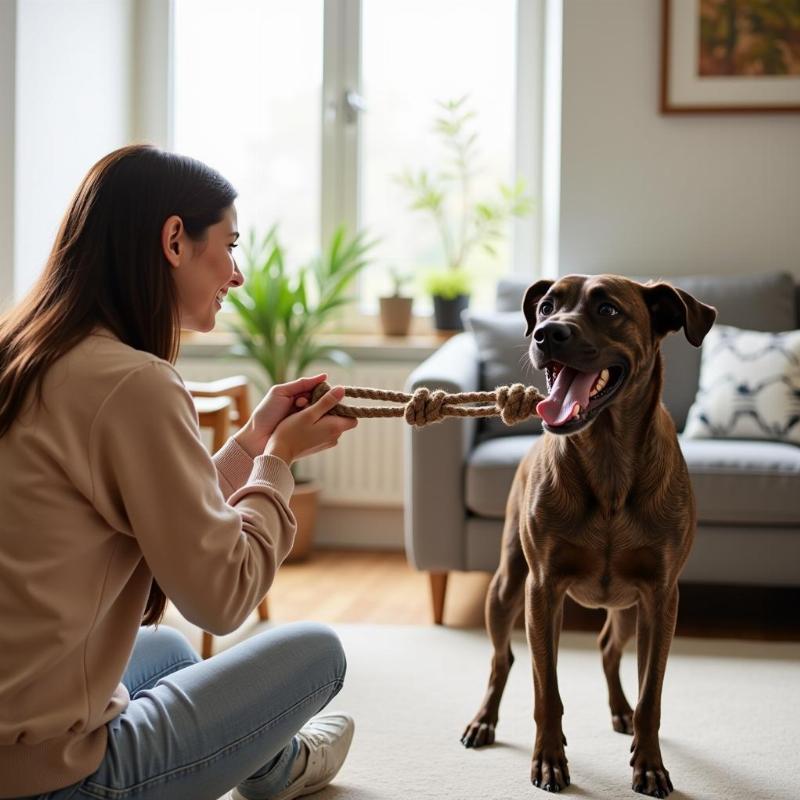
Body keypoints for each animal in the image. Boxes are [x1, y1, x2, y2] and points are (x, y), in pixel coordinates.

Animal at [462, 274, 720, 792]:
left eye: (608, 309)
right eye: (546, 306)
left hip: (627, 607)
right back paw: (484, 720)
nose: (547, 334)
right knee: (502, 659)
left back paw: (621, 711)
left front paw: (650, 762)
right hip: (507, 586)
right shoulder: (542, 590)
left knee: (609, 649)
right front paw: (548, 759)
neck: (607, 457)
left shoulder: (661, 595)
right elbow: (547, 689)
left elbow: (651, 692)